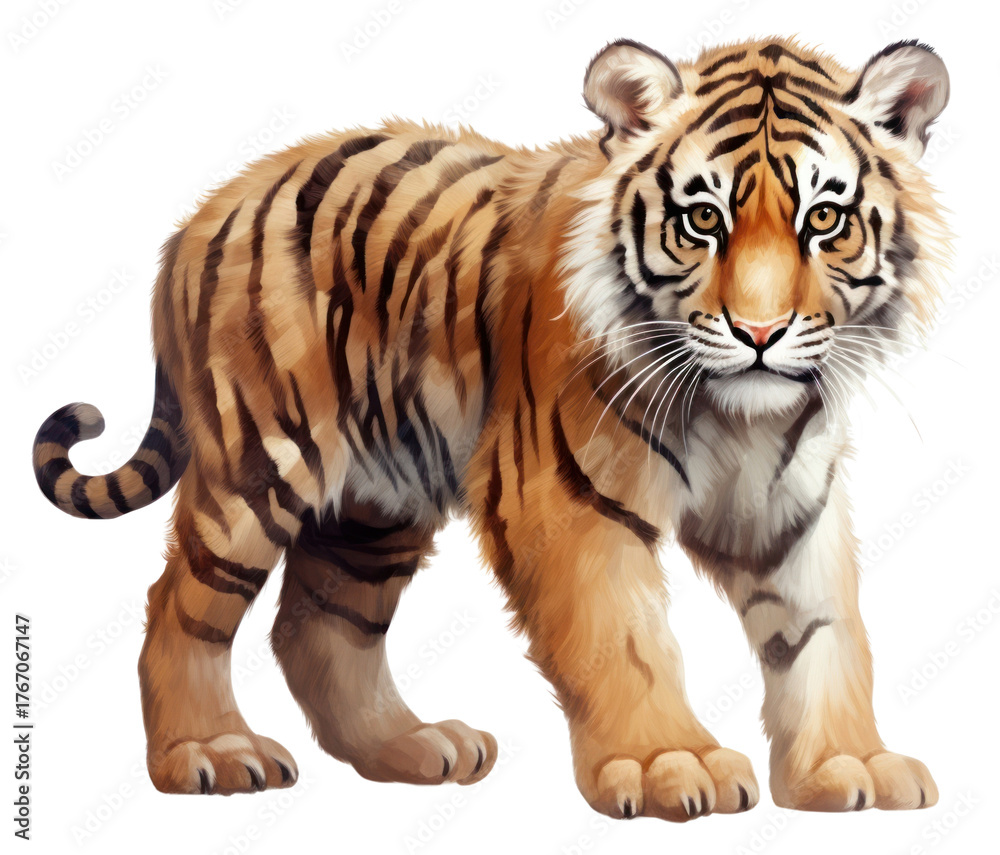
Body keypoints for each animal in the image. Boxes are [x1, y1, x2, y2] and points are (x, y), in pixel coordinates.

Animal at [32, 36, 951, 820]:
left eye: (823, 221)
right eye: (701, 220)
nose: (760, 333)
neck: (741, 414)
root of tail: (203, 211)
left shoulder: (789, 510)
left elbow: (827, 637)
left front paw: (849, 765)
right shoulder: (565, 497)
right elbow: (623, 637)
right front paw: (668, 763)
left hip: (379, 502)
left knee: (319, 623)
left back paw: (413, 746)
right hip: (261, 462)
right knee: (178, 605)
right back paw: (209, 751)